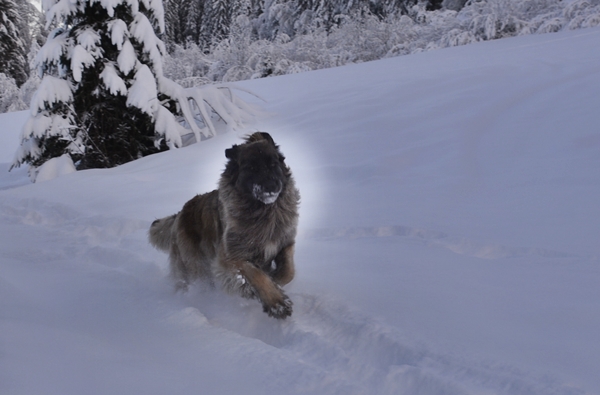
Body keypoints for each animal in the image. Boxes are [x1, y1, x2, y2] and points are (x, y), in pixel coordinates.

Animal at [149, 132, 300, 318]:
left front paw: (275, 282)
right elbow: (255, 274)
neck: (263, 211)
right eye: (251, 168)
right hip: (195, 266)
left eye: (273, 164)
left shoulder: (285, 242)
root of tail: (180, 213)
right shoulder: (230, 256)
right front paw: (276, 302)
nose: (271, 187)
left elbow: (288, 272)